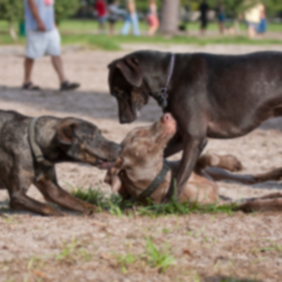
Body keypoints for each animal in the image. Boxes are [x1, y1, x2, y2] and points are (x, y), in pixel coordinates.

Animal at [107, 50, 282, 199]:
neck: (170, 76)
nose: (122, 120)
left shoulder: (194, 139)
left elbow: (180, 180)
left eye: (118, 92)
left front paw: (168, 206)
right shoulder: (180, 138)